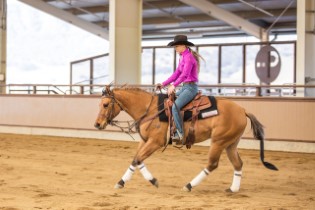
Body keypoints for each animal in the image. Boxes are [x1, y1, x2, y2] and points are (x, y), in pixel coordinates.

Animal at [95, 84, 278, 193]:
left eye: (105, 104)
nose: (97, 124)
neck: (150, 109)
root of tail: (242, 110)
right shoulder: (145, 141)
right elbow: (136, 159)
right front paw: (124, 182)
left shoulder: (155, 142)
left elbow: (138, 159)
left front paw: (150, 181)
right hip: (230, 143)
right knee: (238, 164)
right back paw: (233, 189)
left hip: (218, 142)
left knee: (212, 164)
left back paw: (189, 185)